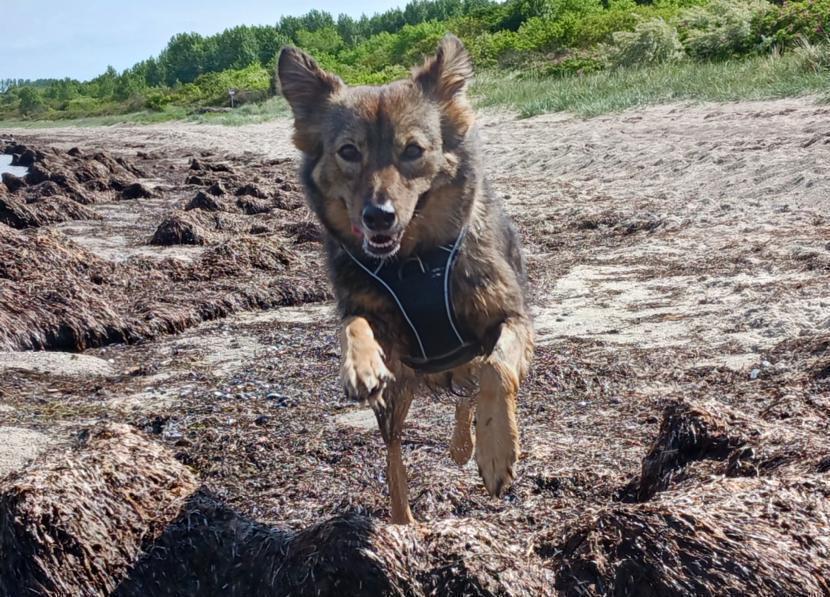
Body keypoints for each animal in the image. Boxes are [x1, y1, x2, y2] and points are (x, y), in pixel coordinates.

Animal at [277, 34, 533, 524]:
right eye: (349, 151)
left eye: (412, 150)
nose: (378, 216)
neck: (412, 260)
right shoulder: (371, 316)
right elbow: (352, 324)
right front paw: (359, 364)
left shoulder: (511, 318)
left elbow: (495, 370)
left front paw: (496, 452)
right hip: (396, 396)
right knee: (395, 455)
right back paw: (402, 521)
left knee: (472, 383)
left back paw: (465, 444)